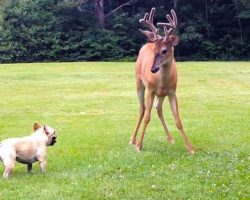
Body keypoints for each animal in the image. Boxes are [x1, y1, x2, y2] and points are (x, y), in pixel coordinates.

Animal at [130, 7, 194, 154]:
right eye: (155, 50)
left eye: (165, 50)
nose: (153, 69)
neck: (161, 81)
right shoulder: (150, 90)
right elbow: (147, 117)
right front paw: (139, 146)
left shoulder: (172, 92)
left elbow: (178, 120)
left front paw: (190, 148)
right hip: (139, 83)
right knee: (142, 109)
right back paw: (132, 139)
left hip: (161, 94)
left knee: (158, 109)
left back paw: (170, 138)